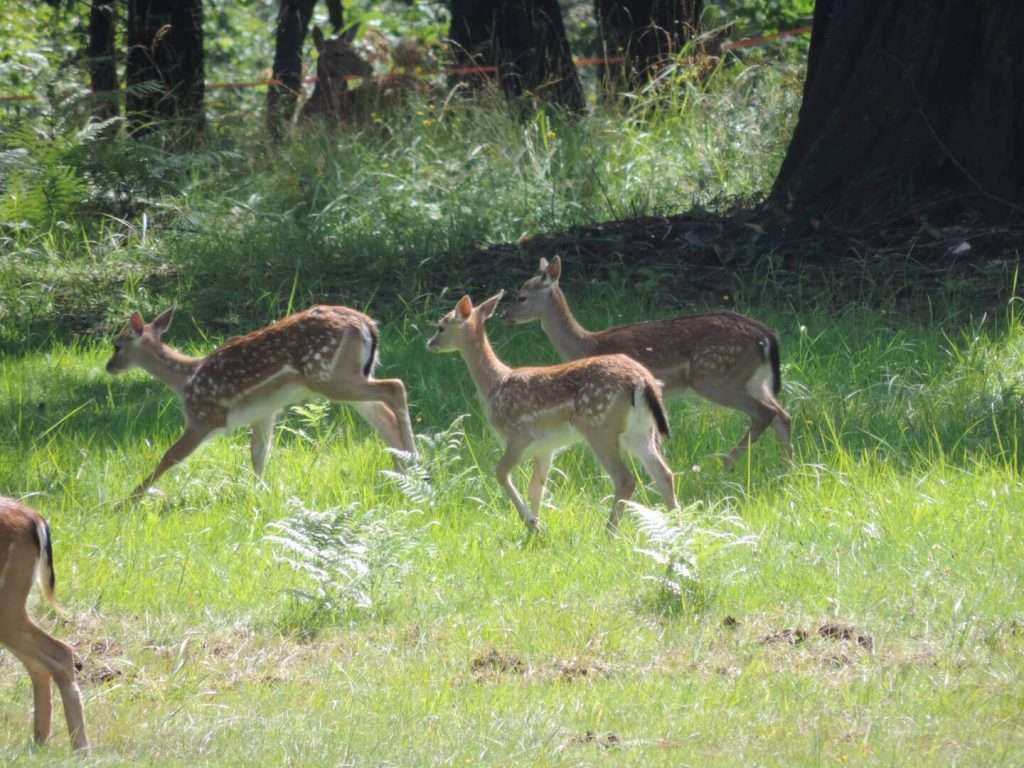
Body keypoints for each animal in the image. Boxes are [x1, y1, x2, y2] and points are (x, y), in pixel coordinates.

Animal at [0, 495, 88, 753]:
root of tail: (35, 519)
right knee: (40, 662)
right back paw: (41, 741)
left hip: (6, 603)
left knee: (58, 652)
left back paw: (80, 748)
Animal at [105, 303, 417, 495]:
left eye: (117, 345)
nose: (109, 366)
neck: (185, 379)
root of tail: (368, 325)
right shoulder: (264, 412)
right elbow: (258, 455)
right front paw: (260, 494)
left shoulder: (204, 417)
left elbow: (169, 456)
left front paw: (128, 500)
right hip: (346, 378)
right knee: (385, 415)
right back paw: (402, 473)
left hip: (329, 377)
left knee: (395, 387)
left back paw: (414, 460)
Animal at [425, 290, 675, 532]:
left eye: (441, 325)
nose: (430, 342)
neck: (495, 385)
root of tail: (643, 381)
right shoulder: (546, 448)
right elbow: (536, 488)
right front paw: (535, 531)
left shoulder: (518, 435)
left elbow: (500, 472)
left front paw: (531, 523)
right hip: (641, 431)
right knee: (664, 474)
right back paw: (676, 527)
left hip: (599, 427)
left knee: (625, 479)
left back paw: (609, 532)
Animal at [503, 256, 790, 468]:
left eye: (522, 297)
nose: (505, 316)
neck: (587, 345)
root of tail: (766, 336)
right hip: (754, 380)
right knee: (782, 414)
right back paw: (787, 467)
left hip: (717, 377)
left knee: (765, 413)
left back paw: (727, 463)